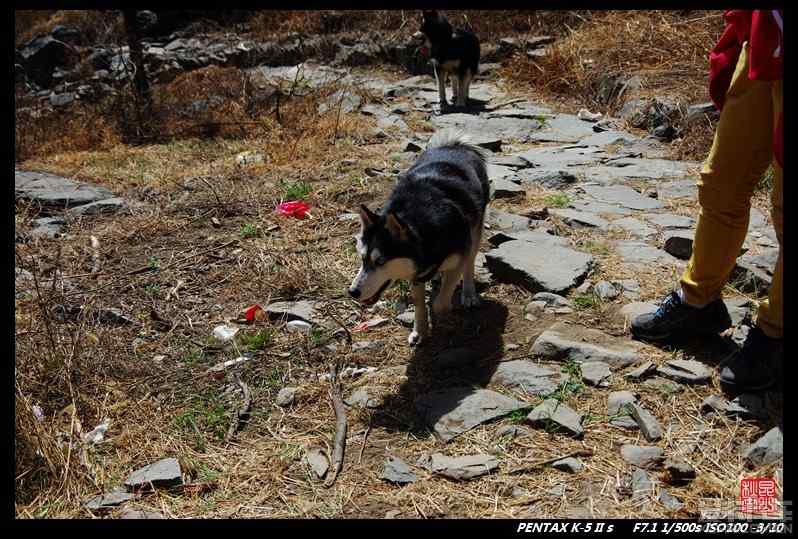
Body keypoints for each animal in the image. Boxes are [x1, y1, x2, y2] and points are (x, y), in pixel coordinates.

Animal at [348, 133, 490, 348]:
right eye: (362, 258)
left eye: (380, 261)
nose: (353, 292)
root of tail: (454, 145)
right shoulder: (416, 273)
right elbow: (419, 303)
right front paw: (420, 330)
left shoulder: (458, 255)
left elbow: (440, 303)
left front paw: (441, 315)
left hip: (475, 231)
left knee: (470, 262)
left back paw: (468, 293)